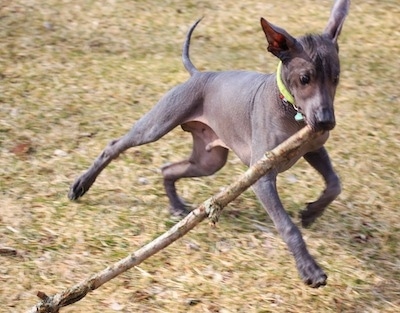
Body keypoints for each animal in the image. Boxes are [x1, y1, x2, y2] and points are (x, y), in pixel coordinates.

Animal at [69, 0, 350, 286]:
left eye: (336, 78)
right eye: (305, 78)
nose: (326, 121)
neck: (289, 108)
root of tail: (198, 74)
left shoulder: (313, 148)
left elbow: (334, 184)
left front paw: (311, 213)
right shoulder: (262, 176)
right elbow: (287, 226)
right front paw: (309, 268)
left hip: (208, 161)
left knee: (168, 169)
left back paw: (177, 206)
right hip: (157, 125)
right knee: (114, 145)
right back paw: (81, 185)